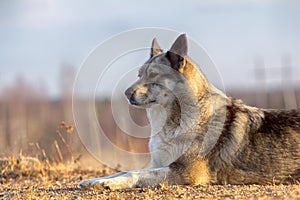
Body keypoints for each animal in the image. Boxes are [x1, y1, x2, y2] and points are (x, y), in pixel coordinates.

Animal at [79, 33, 300, 189]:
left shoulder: (185, 172)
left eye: (154, 75)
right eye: (139, 75)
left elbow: (133, 174)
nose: (125, 93)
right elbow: (123, 171)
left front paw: (107, 183)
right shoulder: (158, 164)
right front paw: (96, 180)